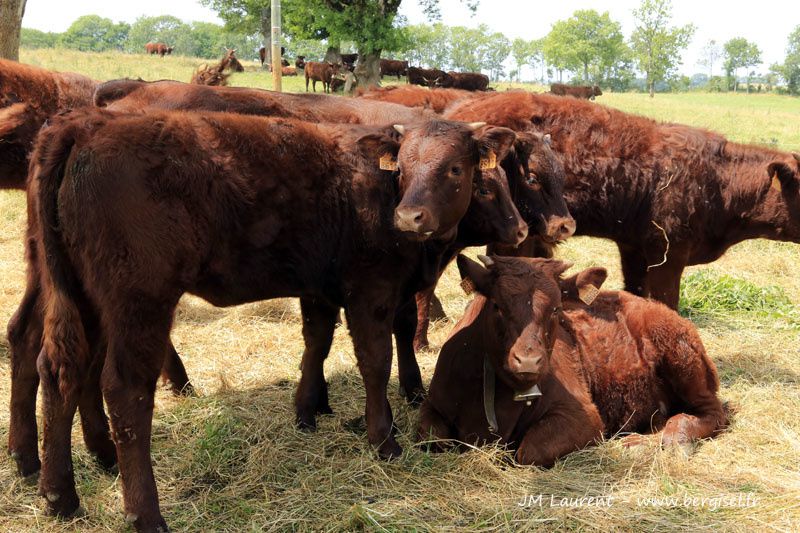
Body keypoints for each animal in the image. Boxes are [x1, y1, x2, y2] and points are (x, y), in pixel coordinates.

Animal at [418, 256, 732, 464]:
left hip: (682, 359)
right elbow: (431, 437)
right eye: (497, 305)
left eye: (556, 308)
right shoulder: (433, 405)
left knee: (712, 412)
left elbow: (528, 452)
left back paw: (675, 438)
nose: (528, 361)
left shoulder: (584, 418)